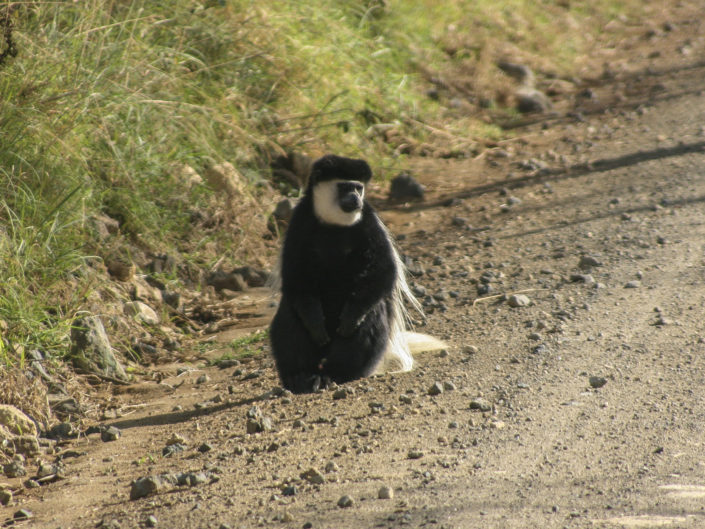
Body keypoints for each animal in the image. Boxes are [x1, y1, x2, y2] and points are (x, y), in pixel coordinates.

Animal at [270, 153, 446, 392]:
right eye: (345, 187)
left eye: (359, 188)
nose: (355, 198)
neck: (334, 224)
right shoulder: (300, 221)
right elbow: (295, 276)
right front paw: (314, 323)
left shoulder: (368, 221)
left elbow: (383, 270)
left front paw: (351, 318)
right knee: (291, 313)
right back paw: (302, 377)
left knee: (370, 315)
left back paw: (336, 374)